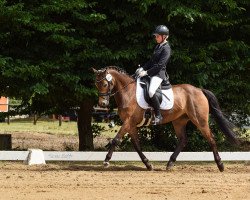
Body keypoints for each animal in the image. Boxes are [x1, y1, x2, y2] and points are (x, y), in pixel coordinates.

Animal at [92, 66, 238, 171]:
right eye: (96, 85)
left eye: (104, 84)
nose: (102, 104)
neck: (127, 93)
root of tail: (199, 90)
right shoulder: (131, 124)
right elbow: (137, 146)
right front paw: (148, 164)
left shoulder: (129, 121)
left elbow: (116, 140)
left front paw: (106, 160)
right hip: (179, 121)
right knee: (183, 140)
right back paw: (170, 163)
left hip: (200, 121)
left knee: (211, 139)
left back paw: (220, 165)